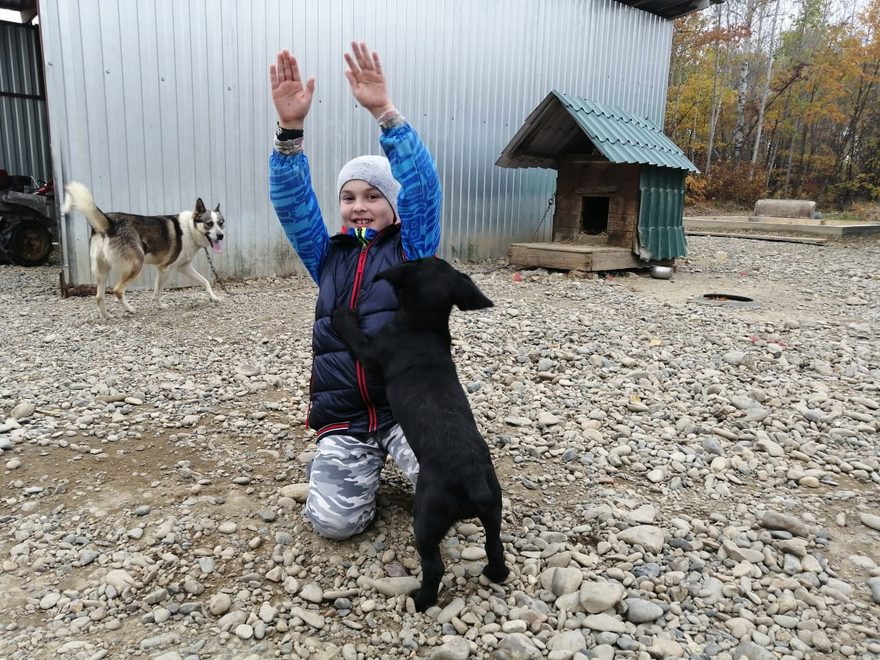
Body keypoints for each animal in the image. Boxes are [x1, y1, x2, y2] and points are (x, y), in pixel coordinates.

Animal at [330, 258, 508, 612]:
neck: (423, 325)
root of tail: (473, 480)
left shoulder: (371, 352)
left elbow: (355, 336)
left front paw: (343, 316)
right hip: (494, 512)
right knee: (494, 546)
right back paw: (495, 574)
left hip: (426, 521)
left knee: (434, 566)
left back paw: (421, 600)